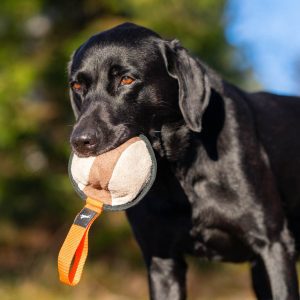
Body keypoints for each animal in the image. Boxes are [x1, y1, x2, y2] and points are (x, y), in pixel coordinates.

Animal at [68, 22, 300, 298]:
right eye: (77, 86)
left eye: (127, 79)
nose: (80, 141)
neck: (177, 171)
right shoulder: (162, 260)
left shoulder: (274, 244)